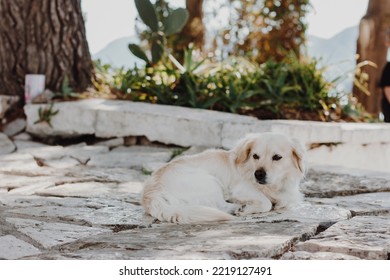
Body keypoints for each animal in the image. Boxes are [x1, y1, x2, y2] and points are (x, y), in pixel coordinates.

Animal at [142, 132, 306, 224]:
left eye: (277, 157)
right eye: (255, 156)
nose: (258, 174)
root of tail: (152, 194)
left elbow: (283, 202)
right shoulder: (241, 189)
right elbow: (267, 203)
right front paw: (249, 207)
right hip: (210, 182)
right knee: (220, 205)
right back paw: (238, 208)